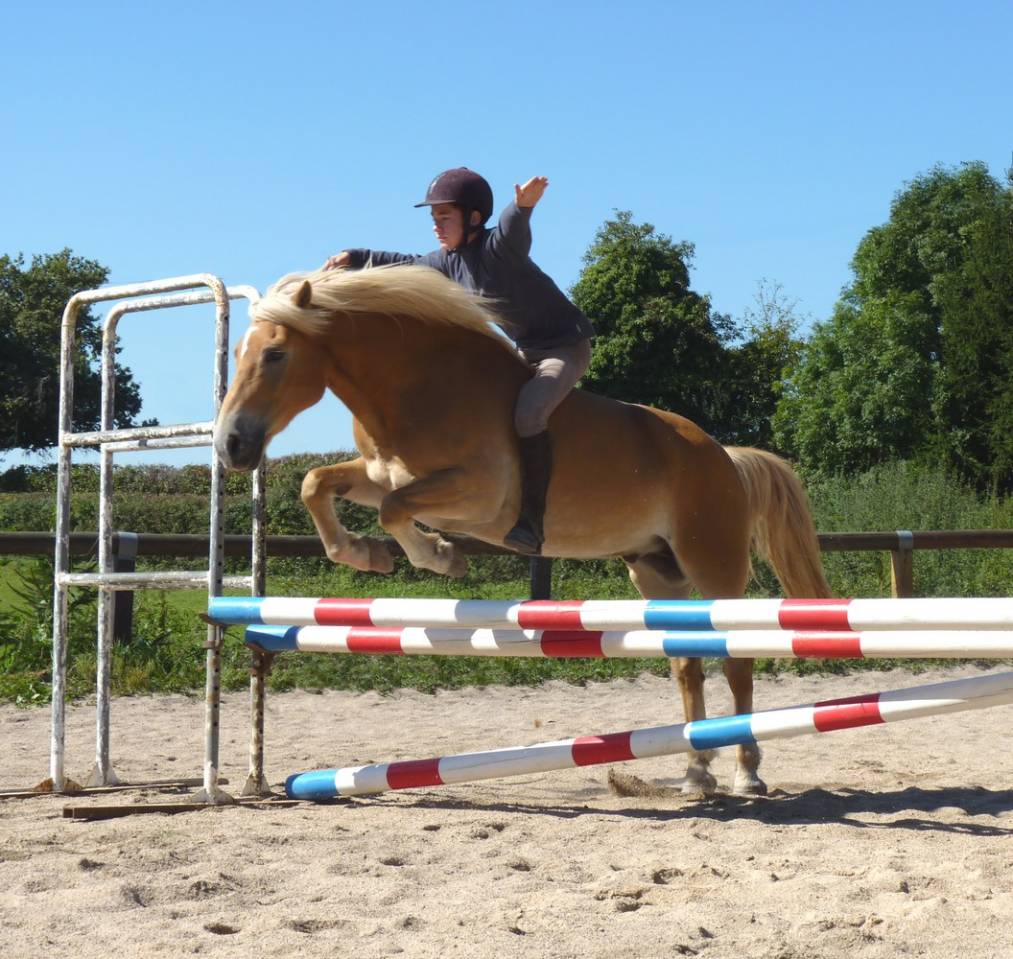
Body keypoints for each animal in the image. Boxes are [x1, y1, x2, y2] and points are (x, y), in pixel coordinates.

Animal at [215, 264, 832, 796]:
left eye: (275, 354)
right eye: (238, 352)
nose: (230, 447)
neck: (416, 386)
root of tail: (723, 457)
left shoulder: (477, 495)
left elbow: (393, 508)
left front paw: (439, 557)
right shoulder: (378, 472)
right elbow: (317, 483)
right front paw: (364, 554)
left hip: (714, 565)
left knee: (736, 658)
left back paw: (746, 772)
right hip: (659, 573)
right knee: (688, 662)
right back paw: (697, 773)